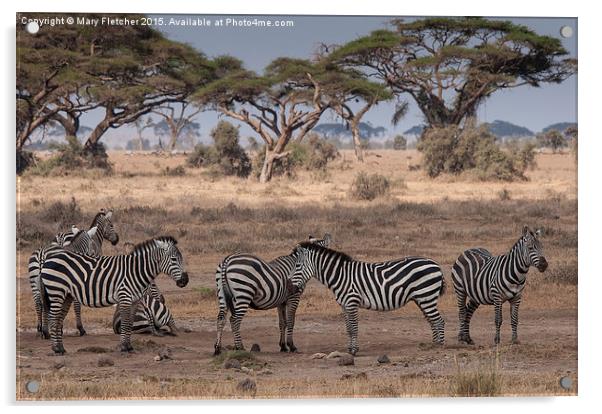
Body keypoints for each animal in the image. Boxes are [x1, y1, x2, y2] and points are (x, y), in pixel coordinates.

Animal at [27, 209, 119, 338]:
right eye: (111, 225)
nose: (116, 240)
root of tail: (41, 254)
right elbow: (77, 303)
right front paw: (79, 328)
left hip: (35, 281)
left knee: (39, 303)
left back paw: (41, 330)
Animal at [38, 234, 188, 354]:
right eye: (174, 259)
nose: (185, 280)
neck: (135, 271)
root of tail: (48, 259)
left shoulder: (134, 300)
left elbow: (129, 323)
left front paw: (128, 346)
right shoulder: (125, 296)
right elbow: (126, 323)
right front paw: (124, 347)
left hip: (66, 295)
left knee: (58, 319)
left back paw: (60, 348)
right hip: (56, 291)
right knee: (53, 318)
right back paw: (56, 349)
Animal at [288, 243, 448, 356]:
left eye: (297, 265)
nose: (290, 286)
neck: (340, 275)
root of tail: (435, 264)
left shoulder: (351, 302)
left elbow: (353, 328)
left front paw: (354, 351)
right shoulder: (344, 305)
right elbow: (348, 328)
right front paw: (349, 349)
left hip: (426, 296)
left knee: (439, 320)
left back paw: (439, 346)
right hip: (422, 298)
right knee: (432, 320)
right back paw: (433, 344)